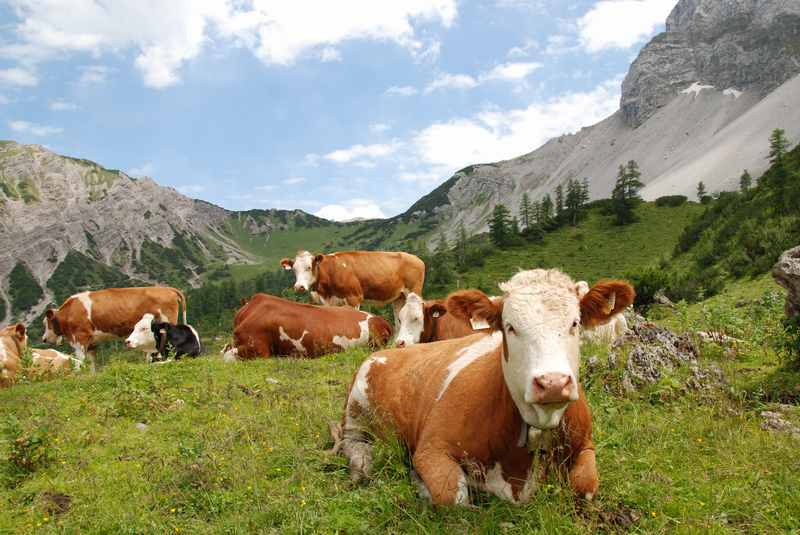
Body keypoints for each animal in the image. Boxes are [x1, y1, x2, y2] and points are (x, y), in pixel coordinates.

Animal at [43, 286, 188, 370]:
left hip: (167, 321)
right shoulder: (92, 343)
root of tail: (167, 288)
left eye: (46, 322)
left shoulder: (80, 338)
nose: (44, 339)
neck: (69, 311)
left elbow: (80, 361)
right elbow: (91, 362)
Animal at [280, 251, 424, 322]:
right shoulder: (329, 302)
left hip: (413, 291)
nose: (299, 286)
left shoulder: (354, 297)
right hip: (398, 297)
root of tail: (417, 259)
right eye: (294, 269)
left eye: (309, 267)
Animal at [328, 272, 636, 506]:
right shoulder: (431, 449)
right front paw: (420, 483)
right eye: (510, 327)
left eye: (575, 323)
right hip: (357, 411)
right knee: (352, 443)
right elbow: (452, 497)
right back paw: (361, 464)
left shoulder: (586, 444)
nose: (553, 383)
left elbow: (586, 486)